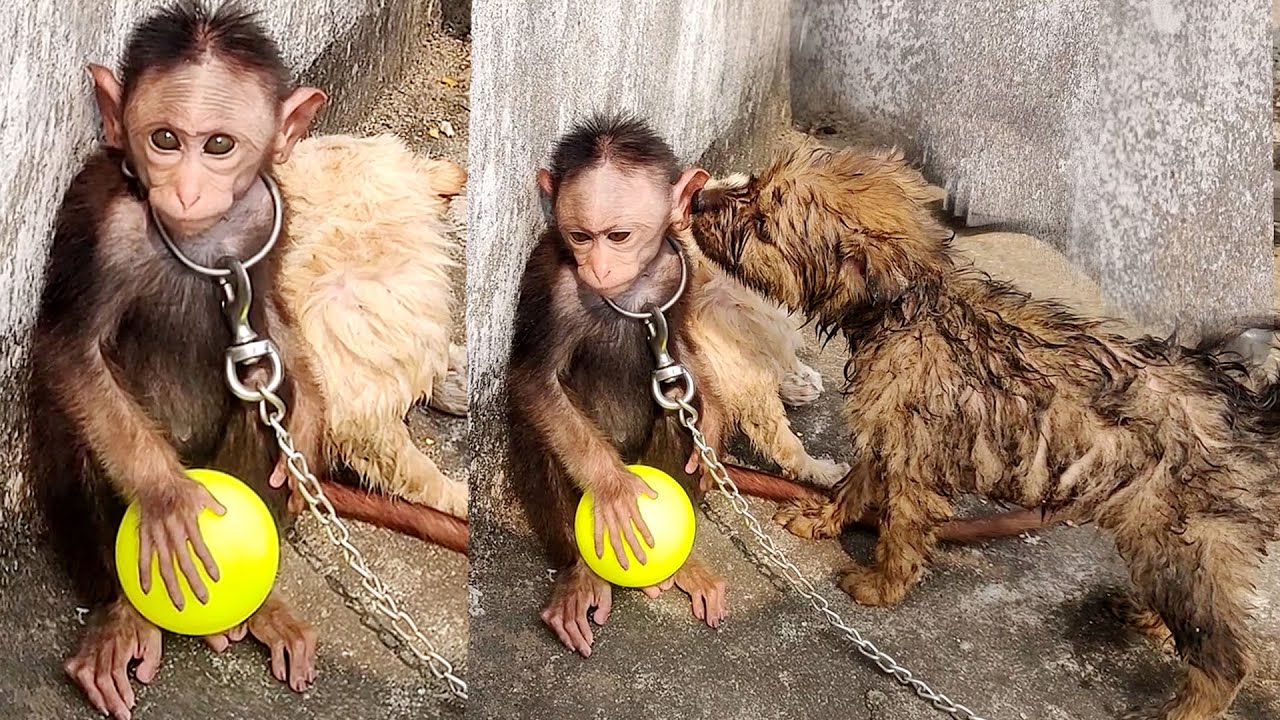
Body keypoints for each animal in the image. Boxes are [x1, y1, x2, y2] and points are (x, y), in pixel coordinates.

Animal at [26, 3, 329, 717]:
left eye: (218, 146)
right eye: (164, 138)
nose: (186, 191)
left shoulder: (269, 211)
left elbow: (269, 325)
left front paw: (311, 411)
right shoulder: (105, 229)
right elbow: (70, 354)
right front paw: (165, 497)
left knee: (261, 399)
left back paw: (259, 610)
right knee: (69, 420)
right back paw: (119, 618)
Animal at [507, 113, 729, 657]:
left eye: (620, 235)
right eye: (580, 236)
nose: (599, 266)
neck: (630, 291)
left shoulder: (677, 270)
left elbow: (681, 353)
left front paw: (714, 420)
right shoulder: (553, 284)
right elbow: (535, 382)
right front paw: (612, 487)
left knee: (676, 407)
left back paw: (683, 567)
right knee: (535, 424)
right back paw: (580, 574)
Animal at [689, 141, 1280, 720]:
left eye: (763, 223)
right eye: (753, 184)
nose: (696, 199)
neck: (909, 309)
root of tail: (1252, 414)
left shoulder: (913, 461)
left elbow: (900, 531)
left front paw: (880, 585)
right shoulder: (887, 437)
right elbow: (853, 486)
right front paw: (821, 518)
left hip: (1184, 541)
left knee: (1225, 657)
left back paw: (1179, 709)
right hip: (1163, 544)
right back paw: (1147, 617)